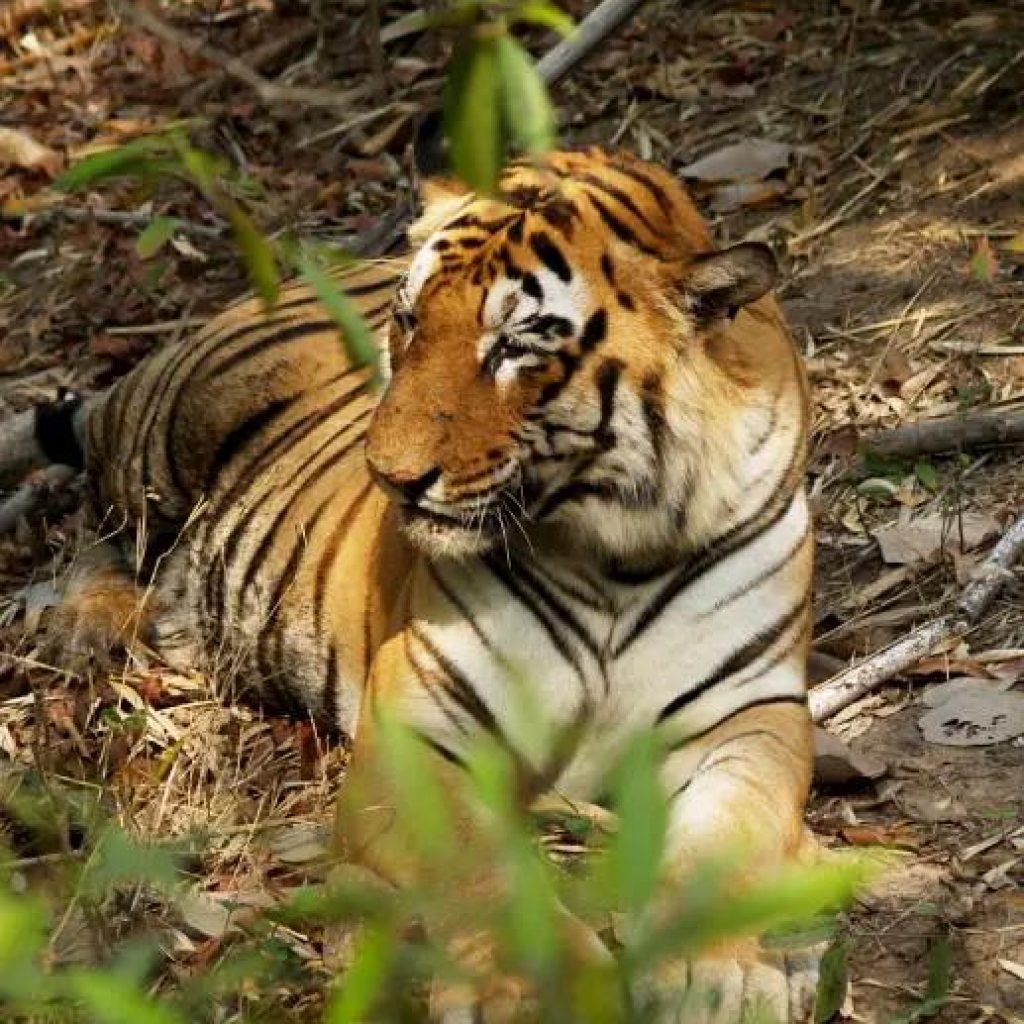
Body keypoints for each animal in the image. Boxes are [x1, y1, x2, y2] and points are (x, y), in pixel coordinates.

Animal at [19, 147, 818, 1021]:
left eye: (515, 346)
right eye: (408, 325)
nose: (390, 477)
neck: (616, 545)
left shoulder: (749, 714)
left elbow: (727, 845)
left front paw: (716, 976)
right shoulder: (416, 742)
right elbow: (485, 869)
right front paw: (540, 990)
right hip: (165, 439)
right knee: (97, 520)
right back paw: (90, 628)